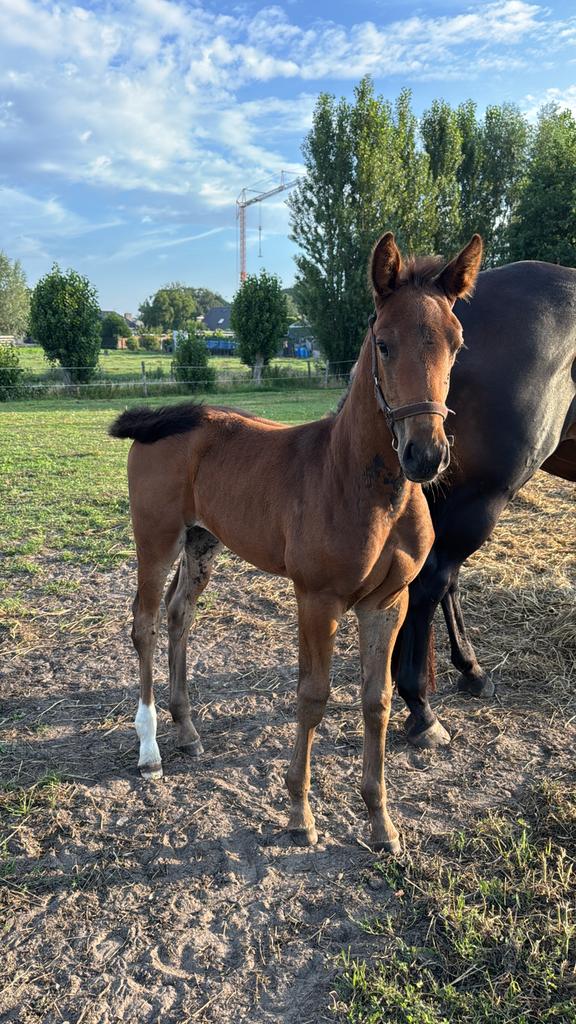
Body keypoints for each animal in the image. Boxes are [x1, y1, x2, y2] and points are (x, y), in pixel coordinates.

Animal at [110, 232, 483, 854]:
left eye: (456, 344)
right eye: (384, 344)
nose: (426, 455)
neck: (359, 483)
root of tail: (163, 417)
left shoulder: (388, 603)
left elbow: (377, 701)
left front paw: (381, 822)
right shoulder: (316, 599)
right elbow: (313, 697)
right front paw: (298, 813)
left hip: (202, 543)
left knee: (180, 615)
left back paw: (187, 730)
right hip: (156, 540)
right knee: (144, 623)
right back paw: (150, 748)